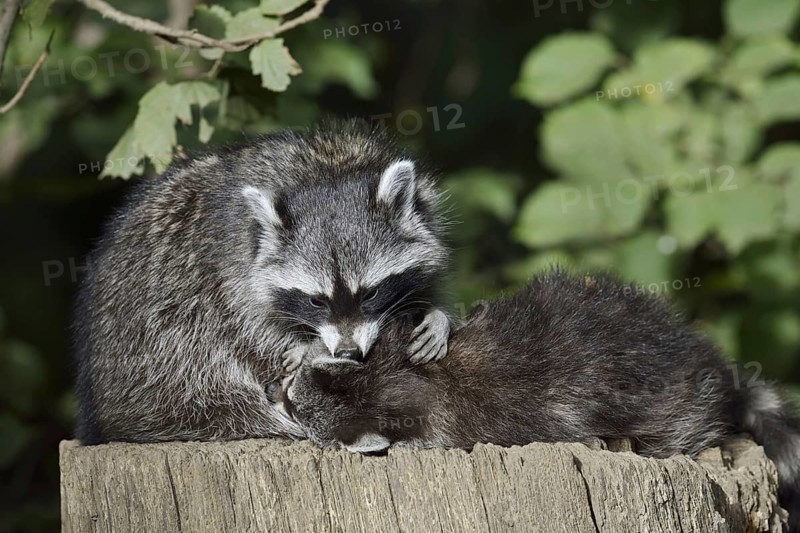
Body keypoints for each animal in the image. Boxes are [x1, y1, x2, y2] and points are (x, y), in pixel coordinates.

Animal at [73, 122, 452, 444]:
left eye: (370, 294)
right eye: (317, 301)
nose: (348, 353)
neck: (327, 172)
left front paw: (436, 315)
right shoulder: (228, 273)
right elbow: (249, 332)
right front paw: (306, 349)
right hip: (161, 355)